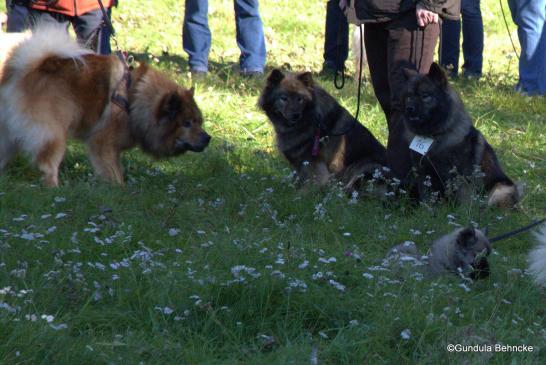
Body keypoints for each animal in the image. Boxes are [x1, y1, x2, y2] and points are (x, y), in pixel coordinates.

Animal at [400, 62, 520, 208]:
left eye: (425, 96)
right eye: (409, 97)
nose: (409, 108)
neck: (434, 136)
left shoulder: (461, 177)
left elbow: (463, 202)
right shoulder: (424, 174)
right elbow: (427, 198)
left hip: (500, 190)